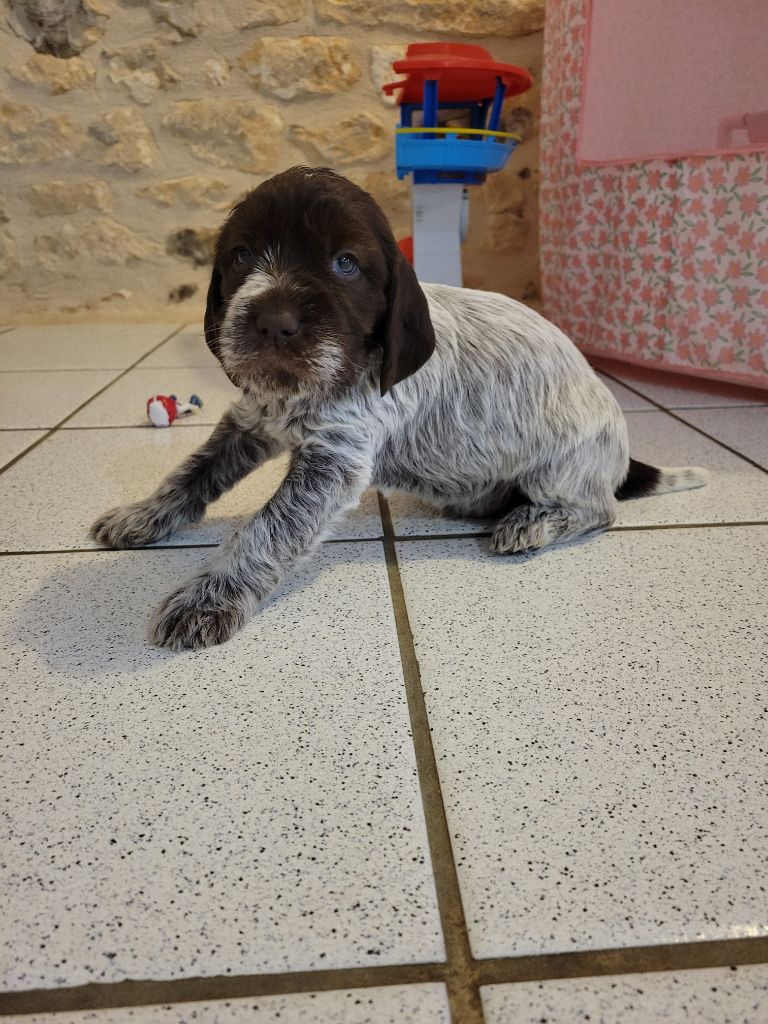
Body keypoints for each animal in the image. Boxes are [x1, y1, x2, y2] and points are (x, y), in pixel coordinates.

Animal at [92, 166, 708, 650]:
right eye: (241, 255)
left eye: (345, 264)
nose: (272, 322)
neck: (307, 389)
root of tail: (621, 454)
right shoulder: (252, 422)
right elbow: (190, 474)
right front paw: (142, 515)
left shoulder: (334, 460)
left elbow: (266, 528)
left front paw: (208, 596)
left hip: (560, 469)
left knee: (600, 510)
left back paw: (531, 522)